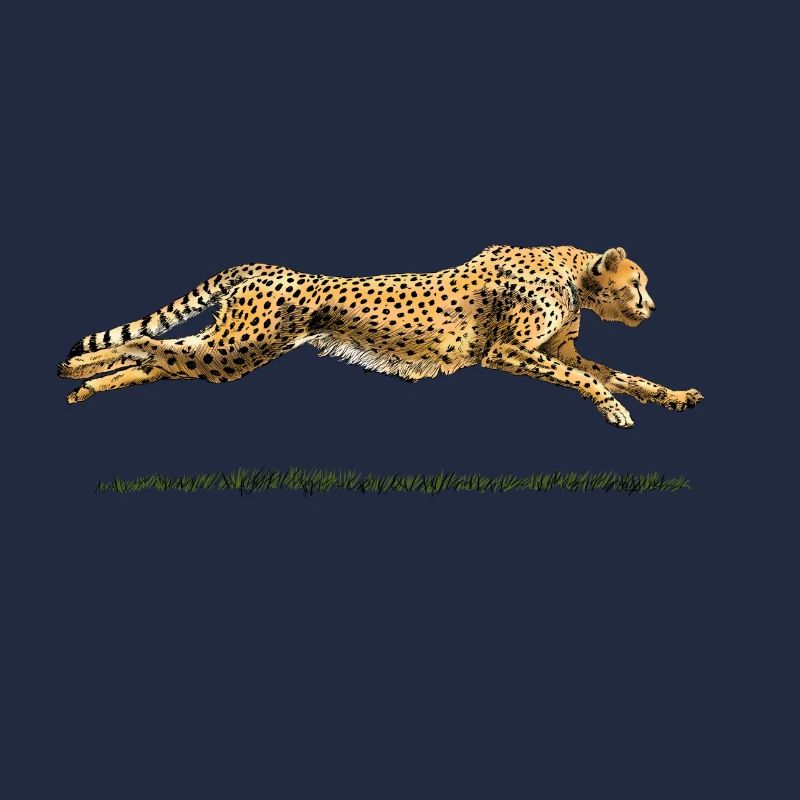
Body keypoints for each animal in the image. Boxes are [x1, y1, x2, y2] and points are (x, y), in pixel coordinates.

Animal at [57, 245, 703, 428]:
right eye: (637, 283)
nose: (652, 307)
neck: (573, 274)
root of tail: (266, 266)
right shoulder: (506, 351)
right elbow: (580, 378)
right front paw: (615, 410)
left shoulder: (556, 349)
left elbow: (620, 373)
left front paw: (672, 396)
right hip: (238, 348)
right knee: (154, 347)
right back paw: (76, 369)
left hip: (230, 353)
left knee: (162, 359)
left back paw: (83, 385)